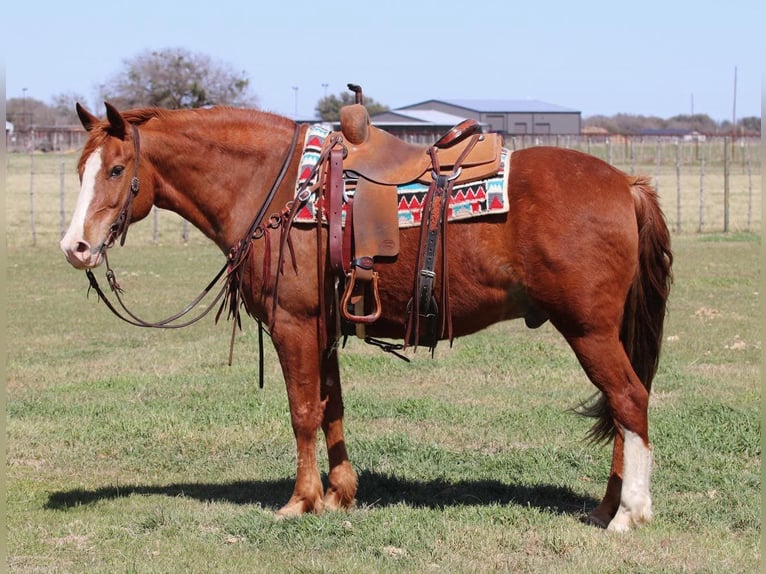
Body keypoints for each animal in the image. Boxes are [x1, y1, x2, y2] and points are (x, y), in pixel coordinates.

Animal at [60, 101, 672, 532]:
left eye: (116, 169)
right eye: (81, 168)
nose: (75, 248)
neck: (275, 184)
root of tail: (626, 184)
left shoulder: (294, 323)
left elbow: (302, 411)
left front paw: (300, 501)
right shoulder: (325, 328)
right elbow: (332, 408)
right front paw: (339, 494)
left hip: (589, 332)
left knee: (629, 401)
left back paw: (629, 513)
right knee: (622, 409)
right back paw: (606, 507)